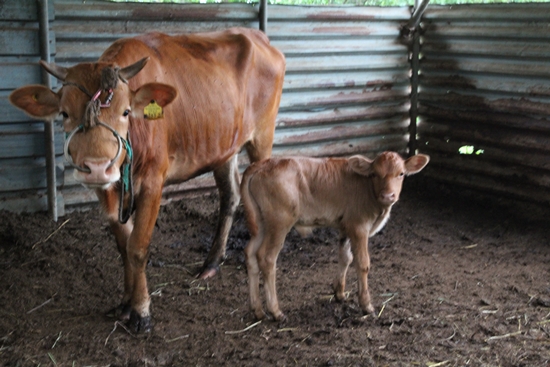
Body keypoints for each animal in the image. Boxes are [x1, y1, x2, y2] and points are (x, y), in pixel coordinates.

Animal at [10, 28, 286, 334]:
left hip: (262, 137)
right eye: (64, 113)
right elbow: (123, 245)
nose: (97, 167)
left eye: (126, 111)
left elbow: (138, 247)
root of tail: (258, 36)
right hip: (224, 144)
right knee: (230, 195)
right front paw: (126, 303)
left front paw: (141, 311)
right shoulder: (108, 190)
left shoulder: (155, 179)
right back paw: (211, 263)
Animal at [242, 151, 432, 320]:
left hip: (261, 223)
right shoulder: (359, 226)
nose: (387, 195)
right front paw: (366, 305)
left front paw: (339, 293)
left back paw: (257, 310)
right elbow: (362, 263)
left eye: (401, 173)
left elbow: (345, 257)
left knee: (250, 253)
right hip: (279, 222)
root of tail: (262, 164)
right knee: (267, 258)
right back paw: (275, 311)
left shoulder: (346, 226)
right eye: (375, 174)